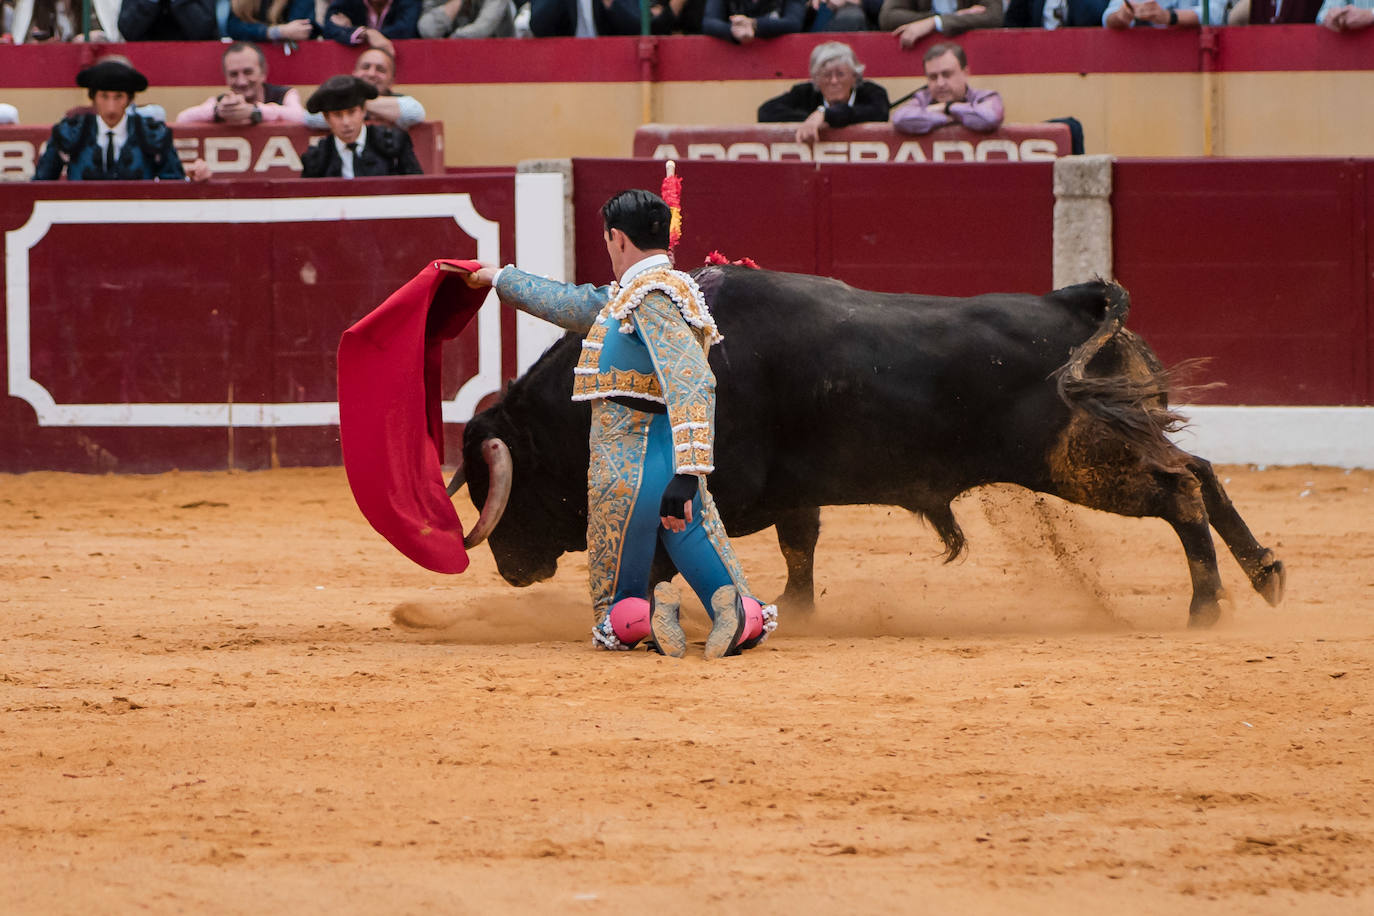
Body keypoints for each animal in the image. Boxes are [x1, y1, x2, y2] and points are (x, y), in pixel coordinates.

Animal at [453, 263, 1286, 623]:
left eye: (512, 487)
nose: (509, 570)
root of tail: (1071, 301)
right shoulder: (794, 492)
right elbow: (801, 550)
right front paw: (798, 611)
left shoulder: (733, 487)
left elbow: (674, 544)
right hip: (1110, 442)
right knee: (1199, 470)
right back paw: (1264, 573)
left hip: (1079, 461)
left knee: (1180, 490)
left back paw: (1207, 607)